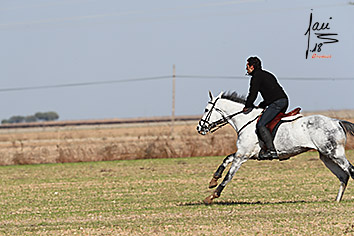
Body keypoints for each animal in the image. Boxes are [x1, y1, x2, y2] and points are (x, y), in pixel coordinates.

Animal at [196, 91, 354, 204]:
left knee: (350, 171)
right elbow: (226, 159)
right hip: (326, 156)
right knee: (343, 176)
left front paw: (212, 196)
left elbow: (229, 175)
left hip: (335, 154)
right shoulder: (244, 153)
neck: (245, 120)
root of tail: (337, 121)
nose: (199, 128)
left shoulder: (242, 156)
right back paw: (336, 200)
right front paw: (213, 180)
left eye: (206, 109)